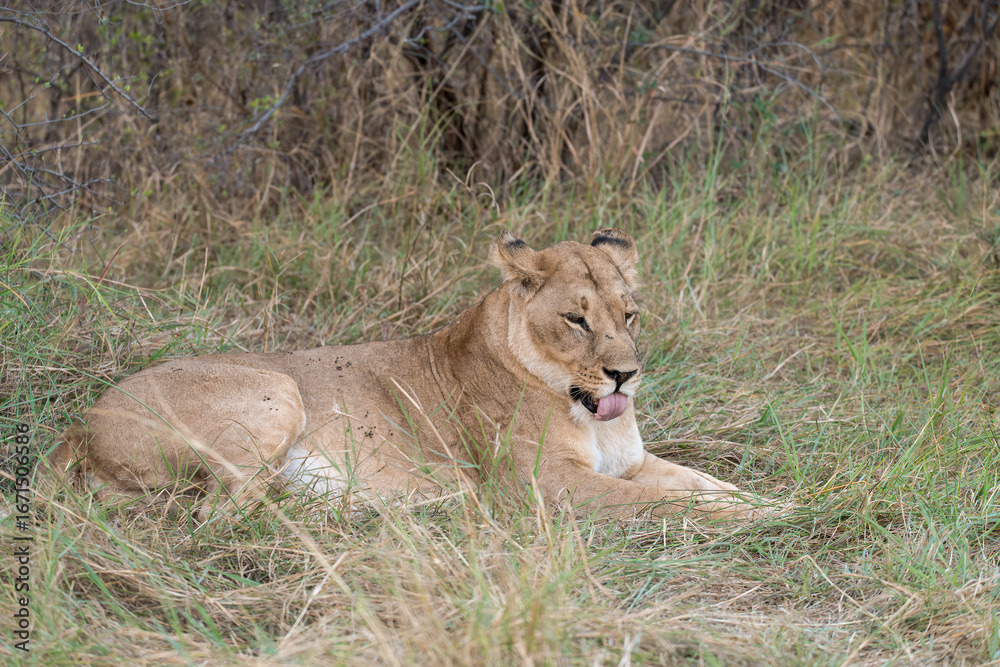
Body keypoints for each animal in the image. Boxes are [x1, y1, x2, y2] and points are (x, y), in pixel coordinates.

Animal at [49, 228, 756, 520]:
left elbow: (708, 483)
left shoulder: (630, 463)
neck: (581, 405)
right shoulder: (545, 486)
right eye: (576, 320)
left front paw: (769, 506)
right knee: (219, 512)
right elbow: (666, 501)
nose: (625, 376)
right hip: (276, 390)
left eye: (629, 314)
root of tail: (81, 423)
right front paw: (745, 520)